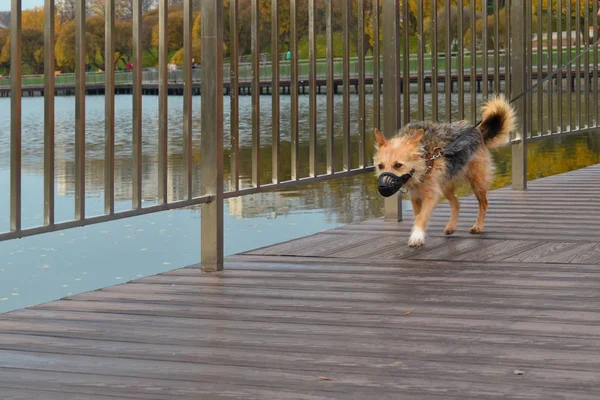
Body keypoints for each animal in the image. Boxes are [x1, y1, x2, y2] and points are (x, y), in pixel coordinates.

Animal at [370, 96, 516, 247]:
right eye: (380, 166)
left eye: (398, 165)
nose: (382, 186)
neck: (424, 160)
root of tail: (477, 132)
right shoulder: (415, 197)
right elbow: (418, 215)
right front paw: (418, 231)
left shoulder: (431, 195)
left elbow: (422, 216)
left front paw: (417, 236)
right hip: (446, 184)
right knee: (456, 203)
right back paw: (451, 226)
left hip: (477, 182)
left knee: (484, 203)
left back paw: (478, 226)